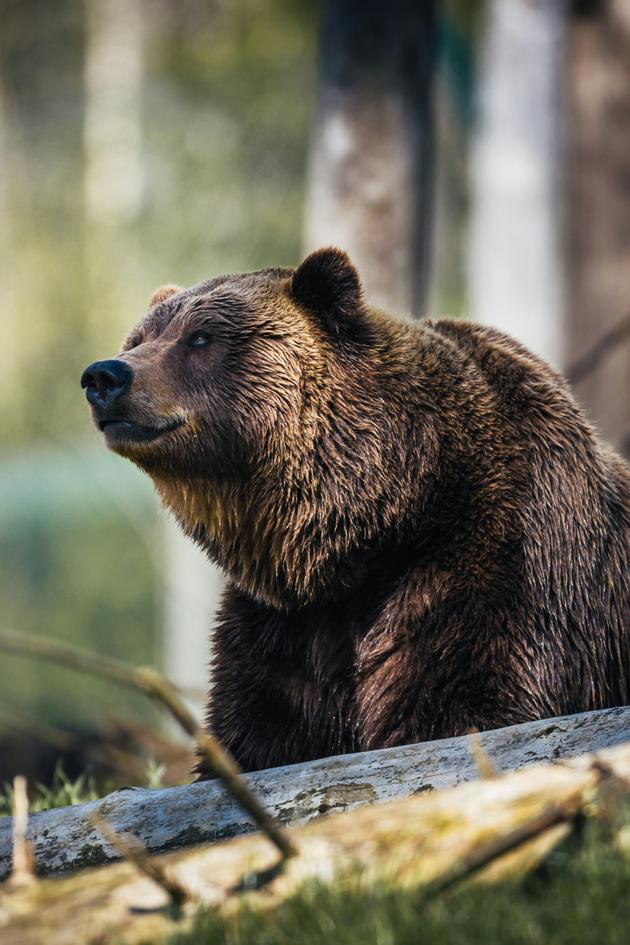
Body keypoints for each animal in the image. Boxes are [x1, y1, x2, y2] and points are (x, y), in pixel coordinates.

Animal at [81, 247, 630, 775]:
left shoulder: (494, 567)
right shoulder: (285, 629)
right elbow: (258, 732)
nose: (105, 374)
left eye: (200, 337)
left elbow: (465, 706)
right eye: (139, 337)